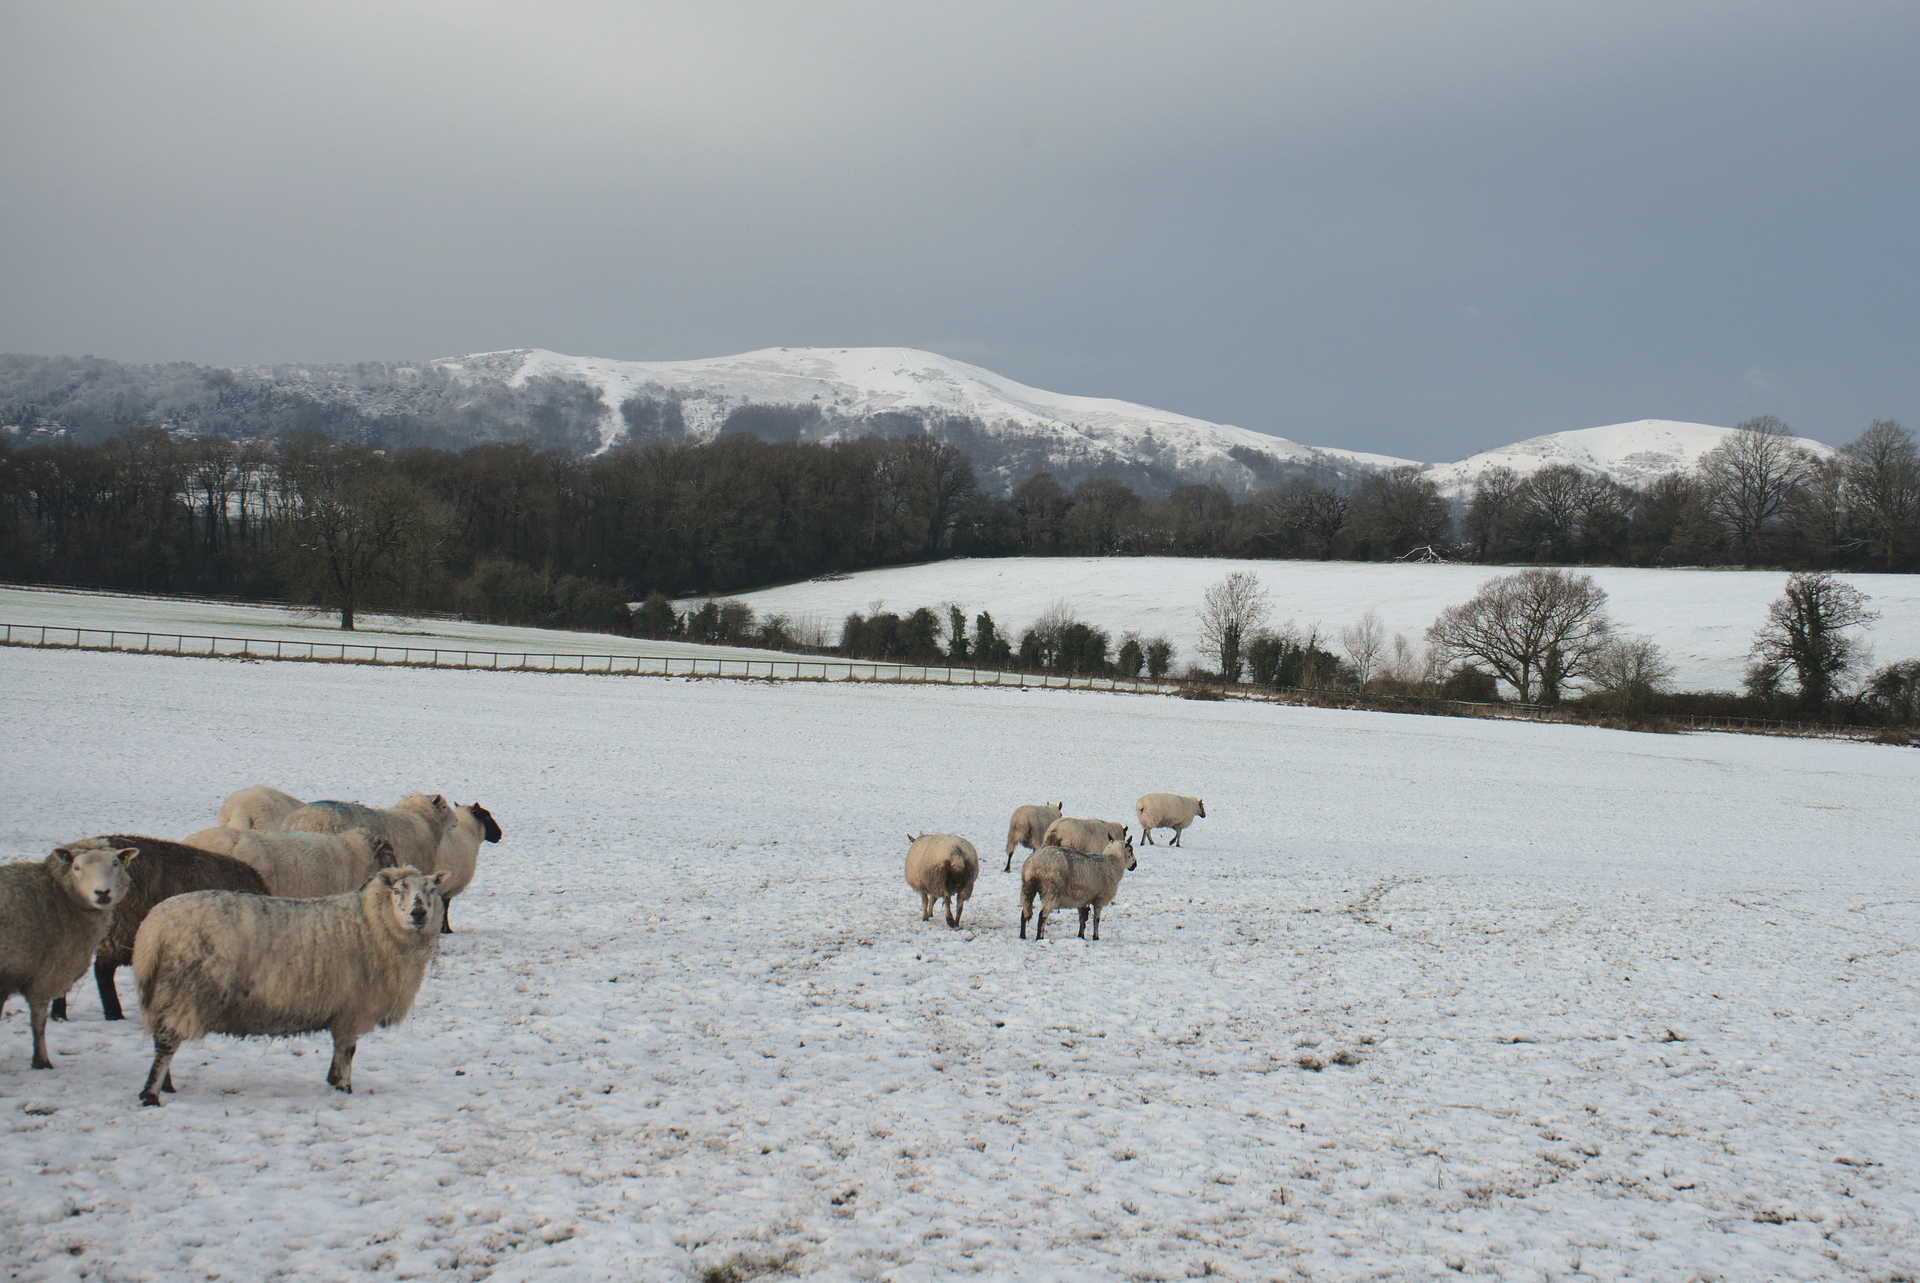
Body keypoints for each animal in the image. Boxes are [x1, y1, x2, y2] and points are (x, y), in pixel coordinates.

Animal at [1, 845, 135, 1067]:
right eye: (76, 867)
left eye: (115, 863)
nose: (102, 893)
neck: (58, 894)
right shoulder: (46, 972)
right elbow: (39, 1019)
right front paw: (42, 1062)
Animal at [135, 860, 449, 1106]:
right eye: (397, 891)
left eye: (432, 891)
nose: (418, 914)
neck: (372, 925)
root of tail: (152, 930)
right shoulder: (352, 1009)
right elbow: (347, 1051)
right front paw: (344, 1088)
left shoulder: (344, 1010)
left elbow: (341, 1052)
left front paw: (334, 1081)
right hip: (184, 991)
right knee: (166, 1044)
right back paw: (151, 1094)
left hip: (166, 993)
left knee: (161, 1038)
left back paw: (166, 1086)